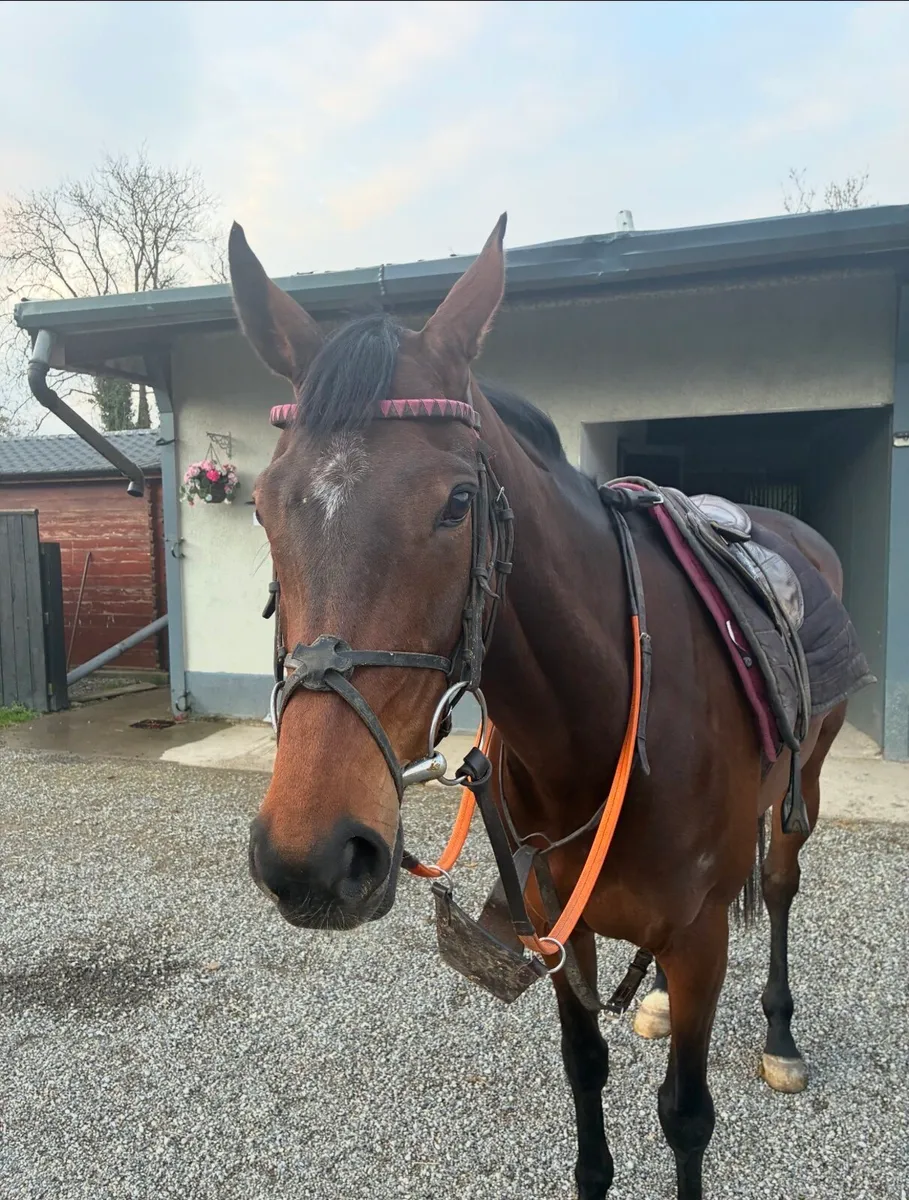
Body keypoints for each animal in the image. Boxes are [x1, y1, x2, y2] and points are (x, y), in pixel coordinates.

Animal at [228, 213, 871, 1199]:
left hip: (806, 788)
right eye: (263, 509)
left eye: (457, 502)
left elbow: (686, 1118)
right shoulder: (559, 929)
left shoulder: (698, 939)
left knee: (777, 885)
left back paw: (779, 1033)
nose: (311, 856)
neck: (601, 726)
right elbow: (585, 1075)